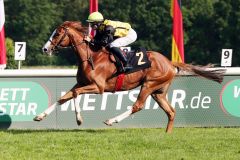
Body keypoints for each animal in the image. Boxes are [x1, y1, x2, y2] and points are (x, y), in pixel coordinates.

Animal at [34, 21, 226, 132]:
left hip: (148, 85)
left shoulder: (98, 87)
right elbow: (64, 97)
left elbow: (73, 95)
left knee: (138, 106)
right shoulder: (81, 83)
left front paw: (79, 120)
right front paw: (40, 116)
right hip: (158, 92)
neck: (91, 56)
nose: (45, 49)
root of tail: (170, 62)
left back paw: (111, 120)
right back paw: (167, 134)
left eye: (57, 34)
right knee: (171, 111)